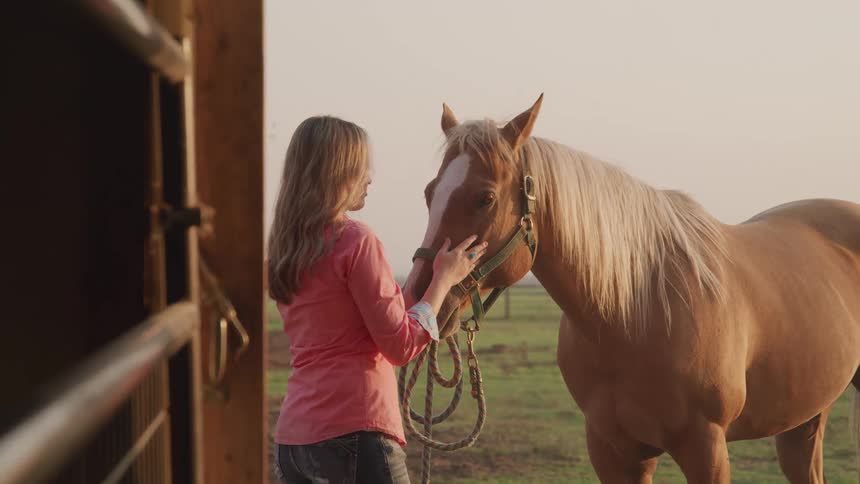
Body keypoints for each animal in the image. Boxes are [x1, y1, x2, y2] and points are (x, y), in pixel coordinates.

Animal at [403, 94, 860, 483]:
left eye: (485, 198)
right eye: (429, 193)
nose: (423, 295)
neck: (637, 313)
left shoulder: (707, 448)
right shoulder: (613, 450)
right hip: (803, 418)